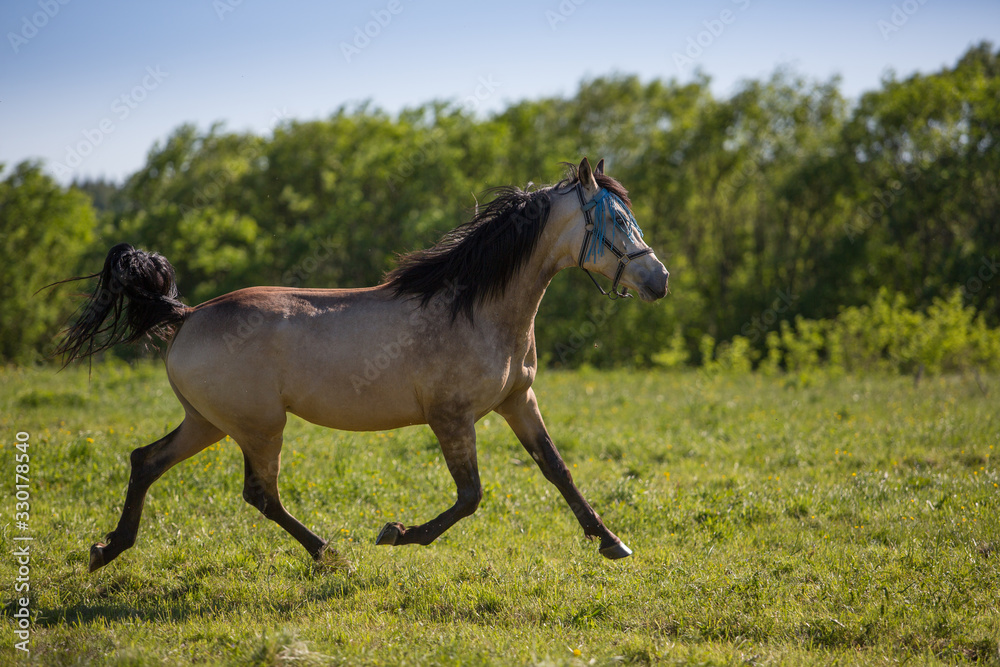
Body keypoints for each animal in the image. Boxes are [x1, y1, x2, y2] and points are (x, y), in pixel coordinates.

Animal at [54, 157, 668, 576]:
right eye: (615, 220)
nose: (659, 280)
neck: (477, 308)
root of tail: (186, 316)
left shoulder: (519, 401)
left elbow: (557, 470)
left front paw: (612, 542)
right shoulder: (451, 418)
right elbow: (470, 496)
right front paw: (397, 533)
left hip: (209, 423)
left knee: (147, 461)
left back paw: (107, 549)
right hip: (258, 427)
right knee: (260, 494)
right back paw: (330, 554)